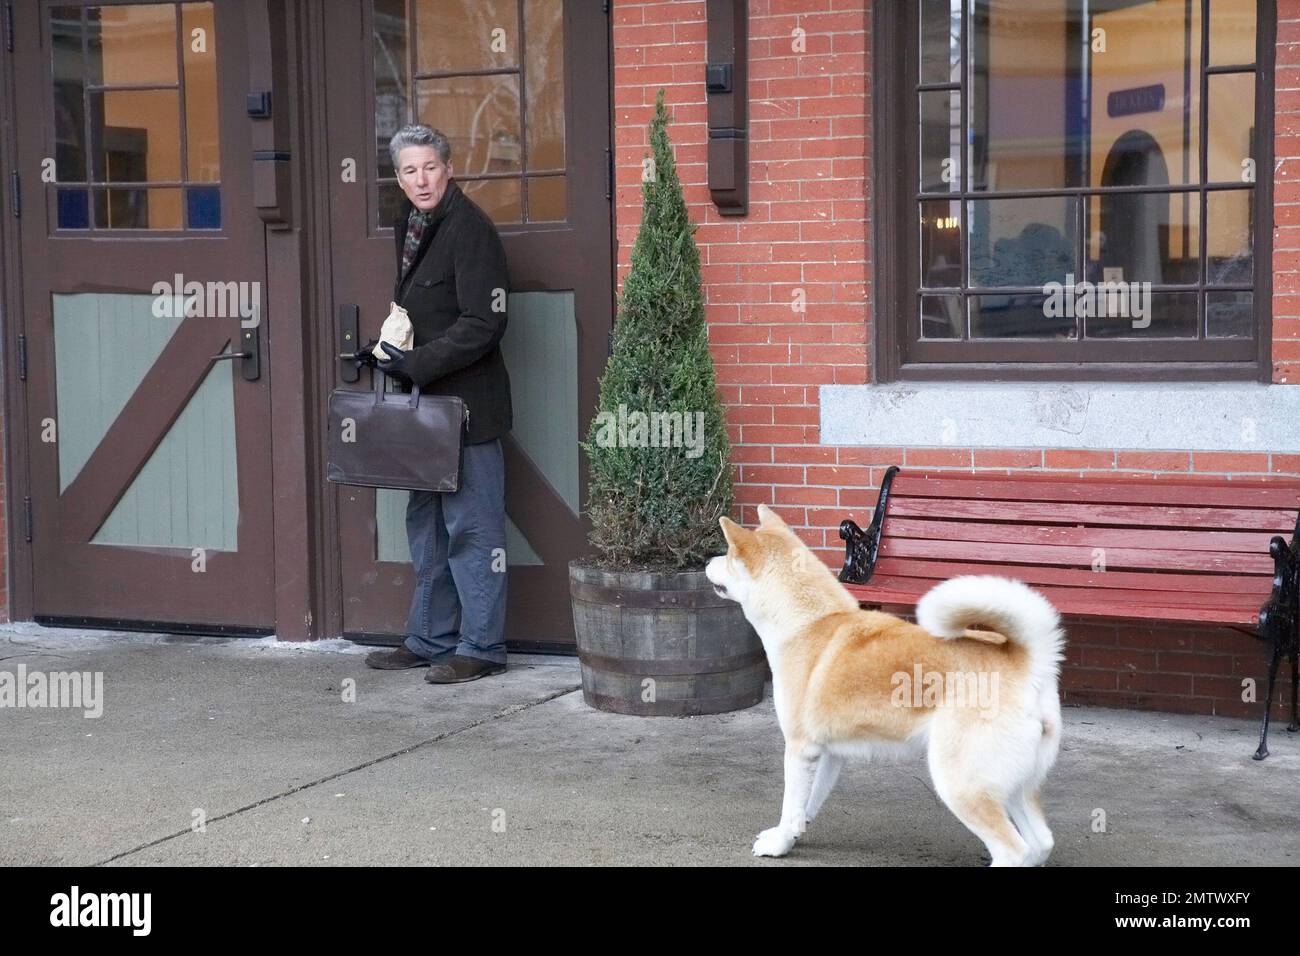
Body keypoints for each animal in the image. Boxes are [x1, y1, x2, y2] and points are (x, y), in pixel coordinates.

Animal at [712, 509, 1066, 868]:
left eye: (726, 556)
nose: (708, 562)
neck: (809, 623)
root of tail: (1029, 660)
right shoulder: (827, 753)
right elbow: (806, 804)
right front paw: (794, 833)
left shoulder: (800, 748)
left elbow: (790, 805)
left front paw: (779, 844)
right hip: (1014, 786)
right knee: (1041, 843)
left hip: (961, 785)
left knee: (1014, 850)